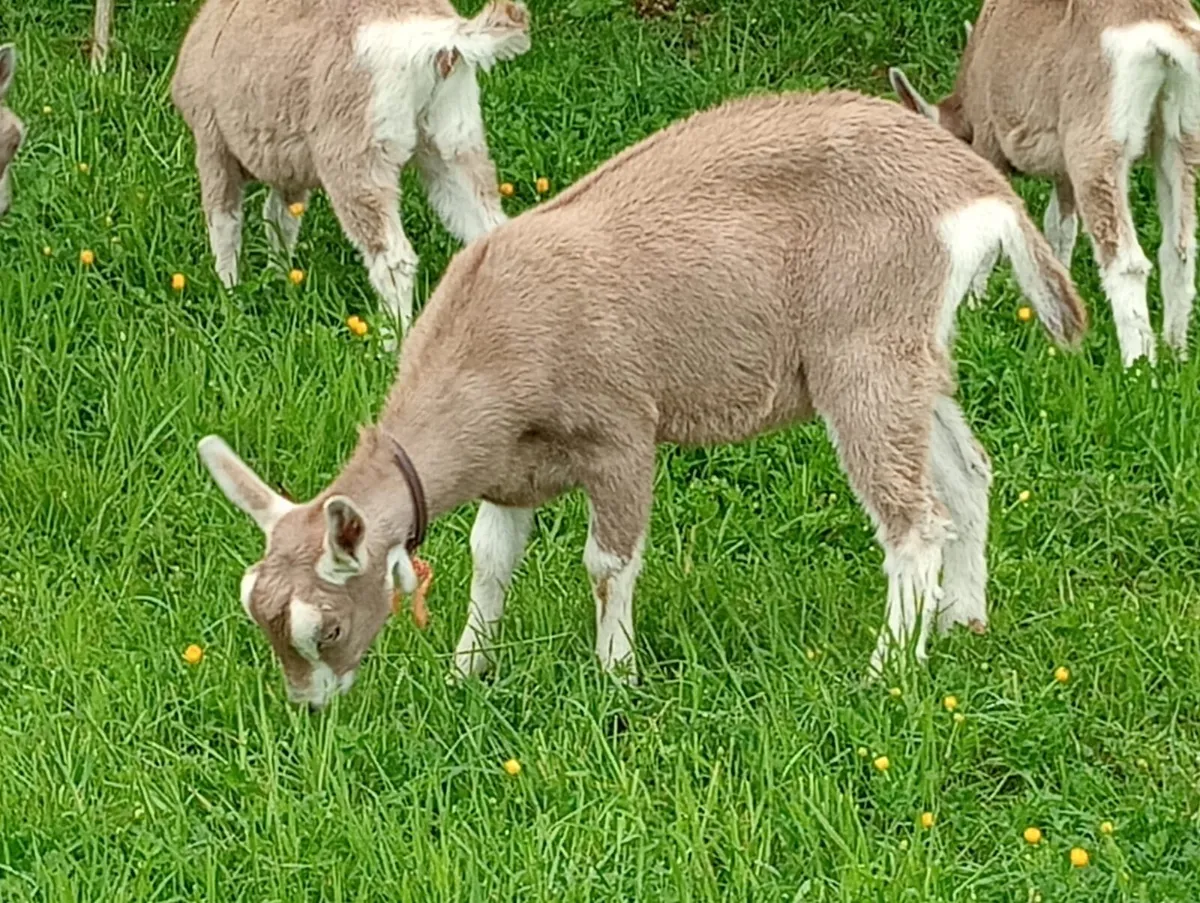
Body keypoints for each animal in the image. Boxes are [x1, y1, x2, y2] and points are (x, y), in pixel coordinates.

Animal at [171, 0, 530, 341]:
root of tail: (440, 41)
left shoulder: (212, 141)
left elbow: (224, 224)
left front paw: (229, 297)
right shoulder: (287, 162)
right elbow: (280, 221)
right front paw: (278, 280)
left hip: (356, 157)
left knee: (393, 260)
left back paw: (387, 344)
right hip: (453, 141)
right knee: (491, 229)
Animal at [197, 91, 1087, 709]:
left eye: (326, 624)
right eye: (258, 612)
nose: (309, 705)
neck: (497, 330)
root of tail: (975, 190)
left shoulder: (622, 435)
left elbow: (607, 563)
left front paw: (615, 674)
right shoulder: (511, 469)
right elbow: (490, 560)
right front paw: (467, 670)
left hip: (864, 355)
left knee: (914, 522)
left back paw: (885, 672)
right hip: (913, 357)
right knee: (968, 475)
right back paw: (963, 620)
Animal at [890, 0, 1200, 366]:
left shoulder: (990, 144)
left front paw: (974, 305)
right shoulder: (1063, 173)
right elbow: (1059, 229)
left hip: (1096, 150)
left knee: (1125, 260)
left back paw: (1138, 365)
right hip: (1179, 137)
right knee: (1179, 248)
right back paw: (1176, 355)